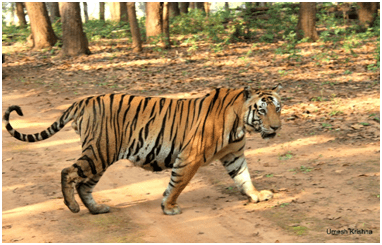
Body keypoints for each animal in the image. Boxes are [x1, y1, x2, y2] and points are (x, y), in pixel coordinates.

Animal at [2, 85, 282, 215]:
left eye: (277, 108)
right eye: (261, 111)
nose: (277, 127)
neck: (241, 124)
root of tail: (84, 100)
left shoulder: (234, 155)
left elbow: (244, 178)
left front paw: (257, 195)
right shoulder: (189, 157)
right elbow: (178, 183)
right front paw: (169, 207)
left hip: (100, 157)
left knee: (84, 185)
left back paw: (96, 209)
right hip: (99, 152)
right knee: (67, 172)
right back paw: (72, 207)